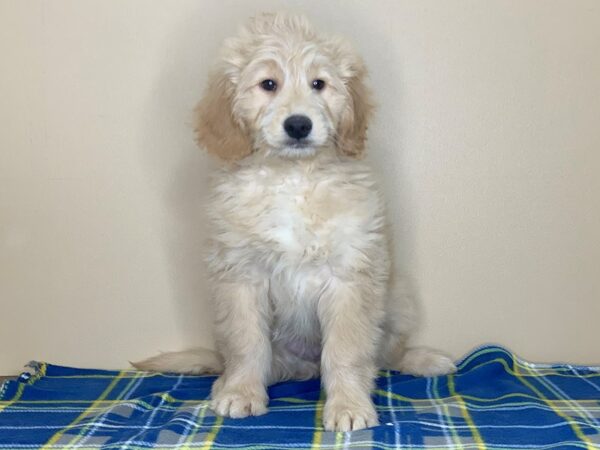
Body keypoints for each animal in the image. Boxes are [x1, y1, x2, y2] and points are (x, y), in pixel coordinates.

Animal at [135, 13, 454, 432]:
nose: (299, 125)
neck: (293, 177)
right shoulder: (241, 276)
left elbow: (347, 349)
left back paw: (423, 359)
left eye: (319, 84)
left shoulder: (350, 275)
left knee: (386, 354)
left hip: (399, 298)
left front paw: (348, 404)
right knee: (240, 358)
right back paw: (228, 380)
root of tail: (303, 368)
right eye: (268, 84)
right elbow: (247, 343)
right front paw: (241, 391)